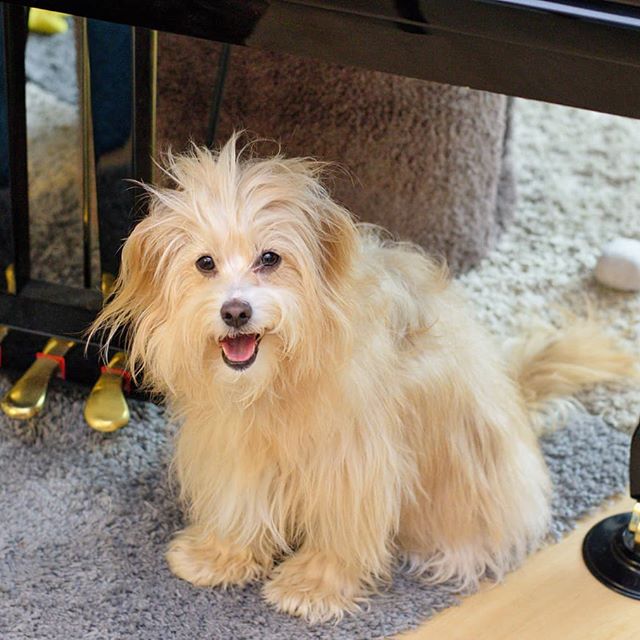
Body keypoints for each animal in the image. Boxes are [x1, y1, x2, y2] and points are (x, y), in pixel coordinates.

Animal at [90, 135, 636, 620]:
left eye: (270, 258)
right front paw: (219, 556)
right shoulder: (235, 448)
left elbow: (341, 527)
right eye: (205, 263)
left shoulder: (353, 460)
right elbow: (239, 503)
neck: (278, 380)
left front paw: (312, 586)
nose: (236, 311)